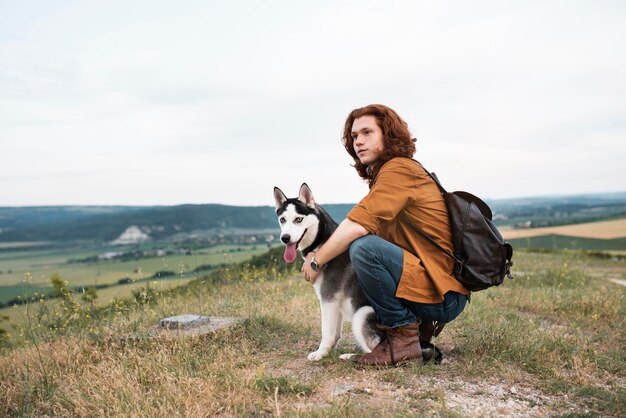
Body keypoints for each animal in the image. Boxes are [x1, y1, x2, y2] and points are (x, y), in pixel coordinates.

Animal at [272, 185, 382, 360]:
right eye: (282, 219)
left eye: (298, 219)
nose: (285, 238)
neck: (322, 244)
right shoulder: (334, 302)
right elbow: (335, 333)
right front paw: (328, 352)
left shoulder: (328, 298)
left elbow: (326, 332)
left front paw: (320, 353)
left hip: (362, 314)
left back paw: (350, 357)